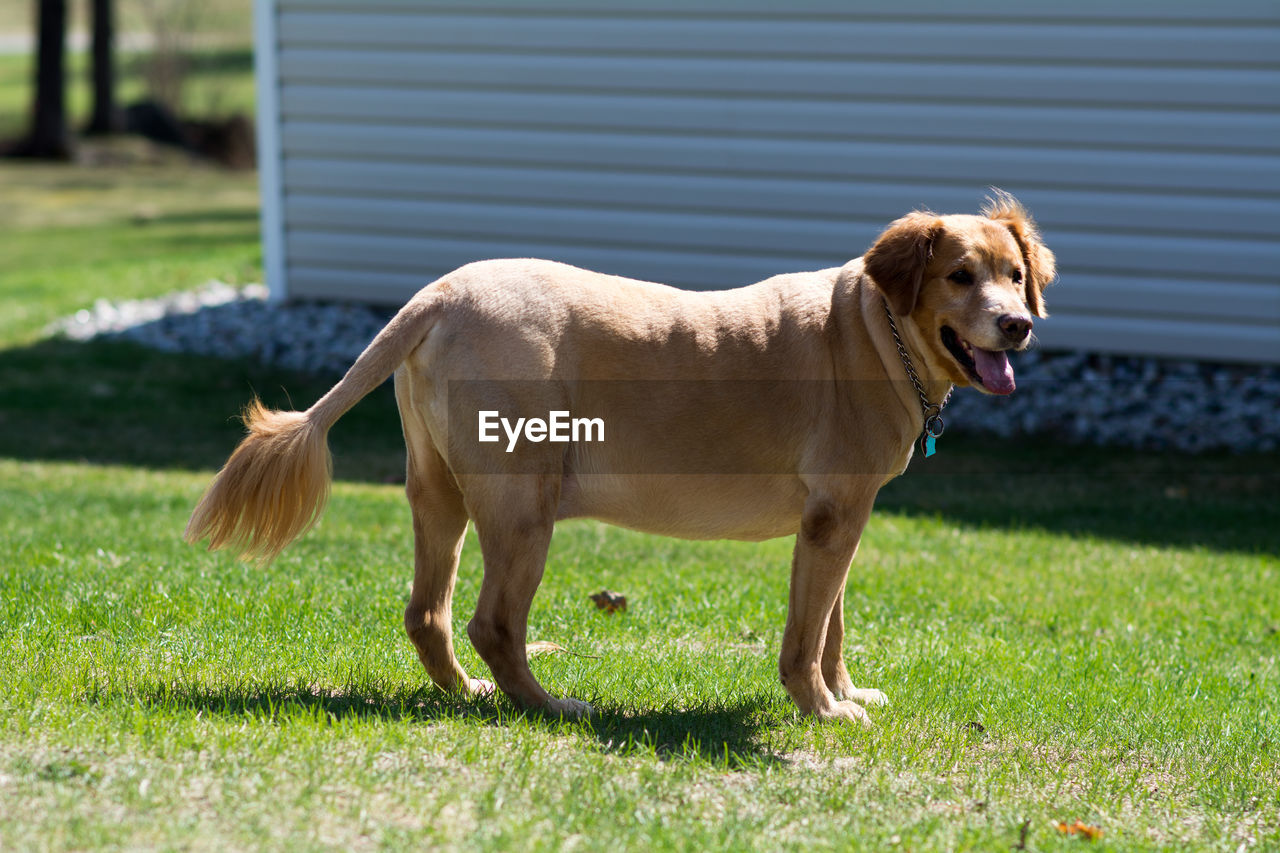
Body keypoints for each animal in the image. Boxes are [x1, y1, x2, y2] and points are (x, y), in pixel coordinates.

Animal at [185, 190, 1054, 717]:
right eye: (959, 276)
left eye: (1015, 275)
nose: (1017, 324)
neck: (876, 331)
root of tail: (438, 296)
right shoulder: (834, 517)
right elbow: (807, 636)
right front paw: (819, 708)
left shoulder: (839, 518)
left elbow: (831, 626)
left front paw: (842, 694)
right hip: (523, 506)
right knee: (493, 623)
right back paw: (549, 705)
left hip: (440, 494)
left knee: (426, 614)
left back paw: (468, 692)